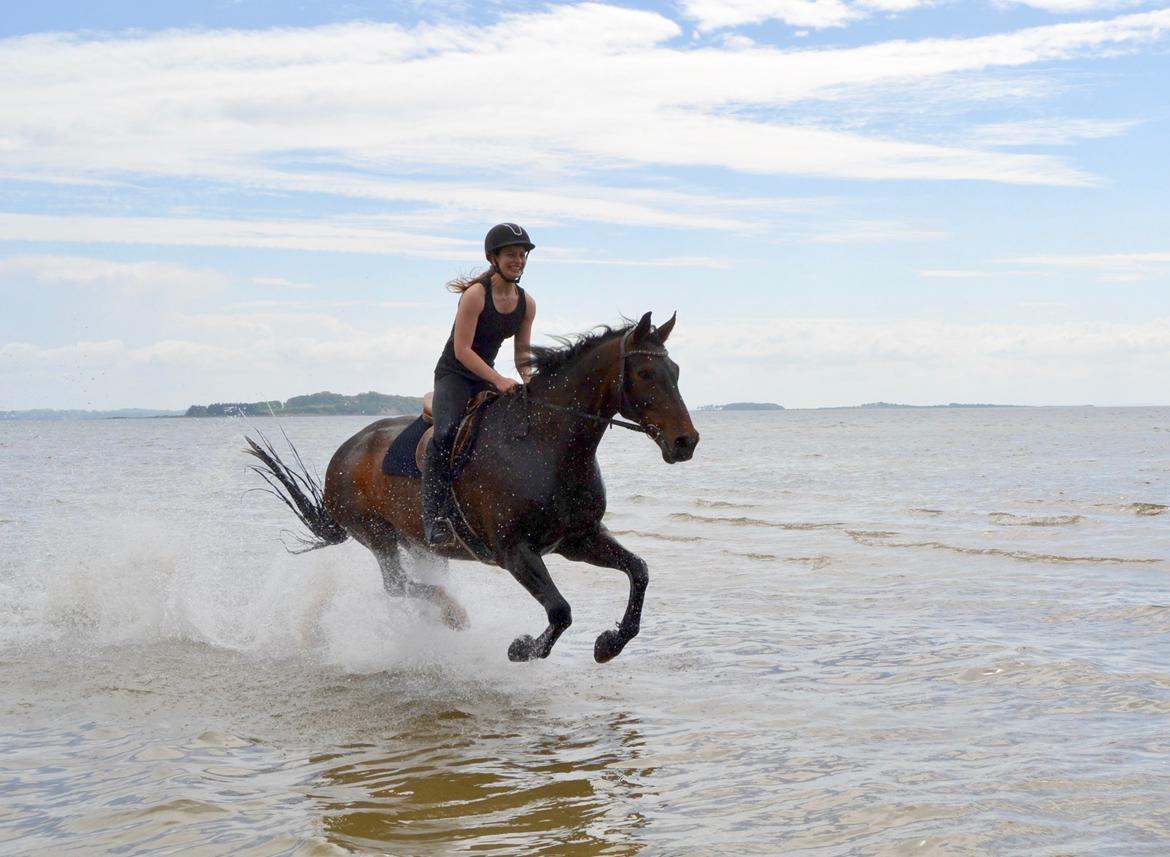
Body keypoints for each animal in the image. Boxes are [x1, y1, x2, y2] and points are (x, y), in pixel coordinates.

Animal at [246, 311, 697, 664]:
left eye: (676, 372)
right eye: (644, 373)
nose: (686, 442)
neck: (545, 445)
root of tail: (343, 454)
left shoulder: (578, 539)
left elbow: (639, 571)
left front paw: (609, 644)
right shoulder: (515, 551)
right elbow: (560, 610)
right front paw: (522, 649)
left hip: (417, 541)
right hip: (376, 534)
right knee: (396, 586)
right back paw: (453, 615)